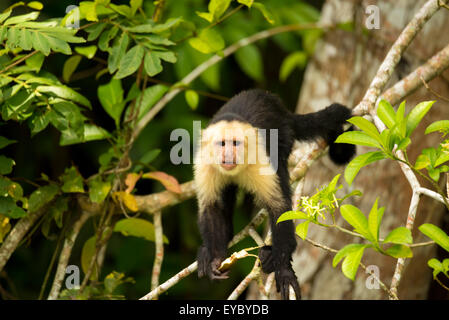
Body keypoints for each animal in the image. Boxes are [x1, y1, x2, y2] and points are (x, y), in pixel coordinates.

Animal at [192, 89, 354, 300]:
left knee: (281, 172)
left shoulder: (259, 157)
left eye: (235, 143)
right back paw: (209, 249)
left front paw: (284, 270)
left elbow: (279, 208)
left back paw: (271, 255)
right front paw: (216, 259)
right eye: (222, 144)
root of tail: (281, 109)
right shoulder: (205, 164)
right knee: (225, 197)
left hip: (284, 133)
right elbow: (212, 208)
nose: (227, 155)